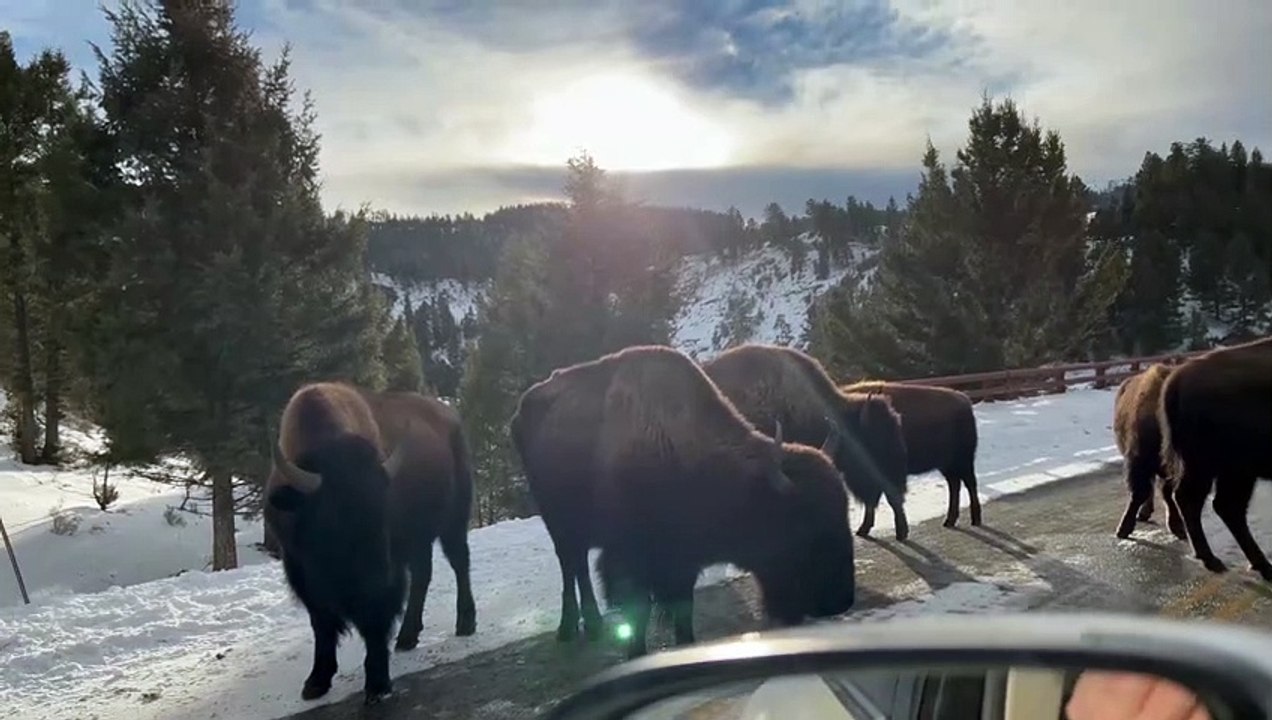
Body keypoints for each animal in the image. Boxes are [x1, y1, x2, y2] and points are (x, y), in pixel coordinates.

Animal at [265, 382, 477, 703]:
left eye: (383, 510)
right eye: (332, 516)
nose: (379, 575)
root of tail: (451, 418)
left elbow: (374, 621)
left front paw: (378, 684)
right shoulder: (302, 574)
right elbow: (322, 624)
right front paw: (316, 682)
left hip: (452, 521)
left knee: (459, 562)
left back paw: (465, 623)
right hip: (419, 540)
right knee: (423, 575)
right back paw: (407, 637)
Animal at [510, 345, 855, 658]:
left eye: (843, 511)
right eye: (803, 523)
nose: (841, 600)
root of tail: (522, 410)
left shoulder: (682, 565)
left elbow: (682, 614)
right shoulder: (629, 561)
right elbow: (638, 614)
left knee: (578, 565)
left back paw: (592, 625)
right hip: (558, 524)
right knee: (570, 565)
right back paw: (570, 628)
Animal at [840, 381, 981, 529]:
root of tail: (965, 401)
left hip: (963, 461)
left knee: (970, 484)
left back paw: (975, 519)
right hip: (947, 465)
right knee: (955, 485)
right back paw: (949, 520)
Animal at [1159, 336, 1272, 581]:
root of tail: (1177, 379)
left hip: (1229, 471)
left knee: (1224, 506)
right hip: (1222, 468)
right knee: (1201, 501)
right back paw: (1214, 560)